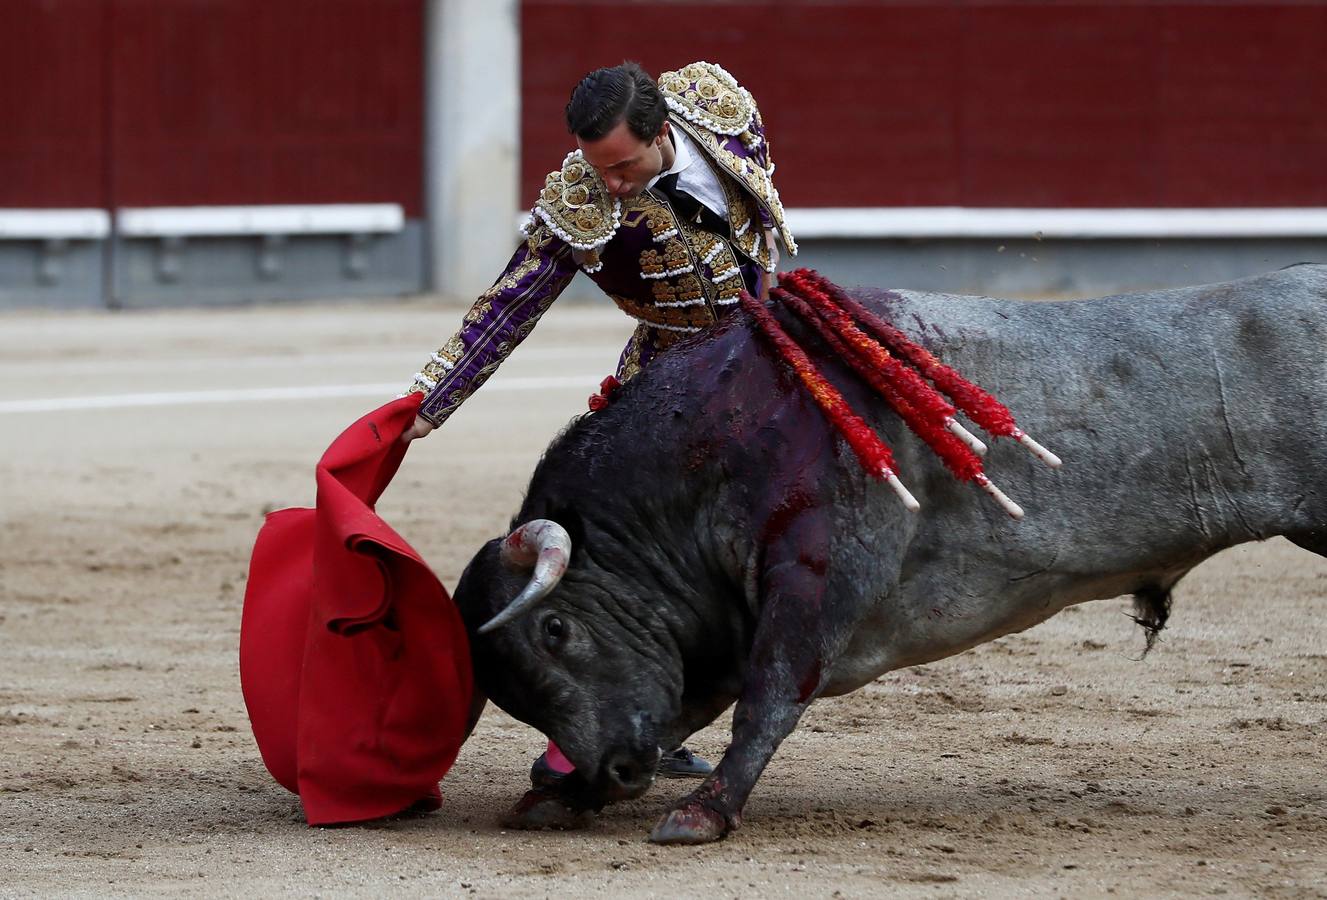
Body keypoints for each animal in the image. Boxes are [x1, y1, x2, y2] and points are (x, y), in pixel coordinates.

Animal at [448, 266, 1327, 844]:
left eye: (554, 630)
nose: (615, 770)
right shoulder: (716, 630)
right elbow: (693, 701)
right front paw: (560, 794)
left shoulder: (819, 578)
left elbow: (768, 697)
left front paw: (700, 813)